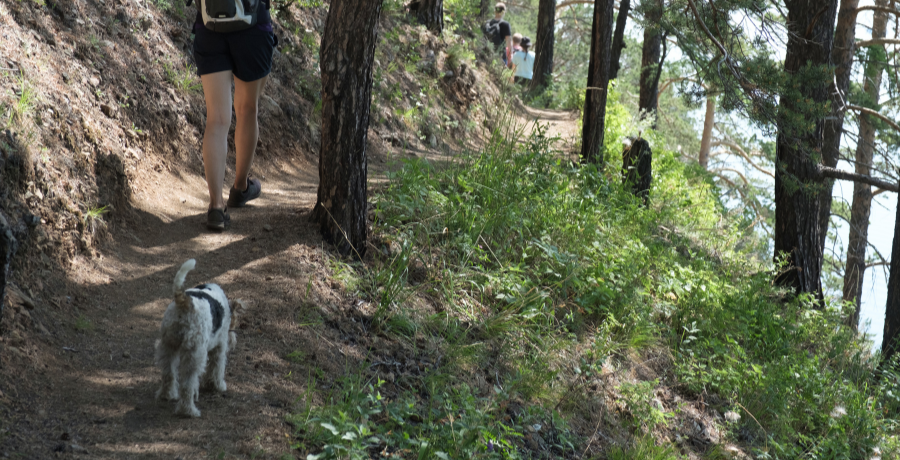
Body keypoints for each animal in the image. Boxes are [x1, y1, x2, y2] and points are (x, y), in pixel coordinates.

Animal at [156, 258, 232, 416]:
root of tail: (184, 302)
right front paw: (217, 385)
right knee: (187, 384)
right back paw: (189, 411)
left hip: (168, 345)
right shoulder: (220, 345)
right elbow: (217, 366)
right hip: (193, 353)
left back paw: (167, 395)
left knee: (168, 374)